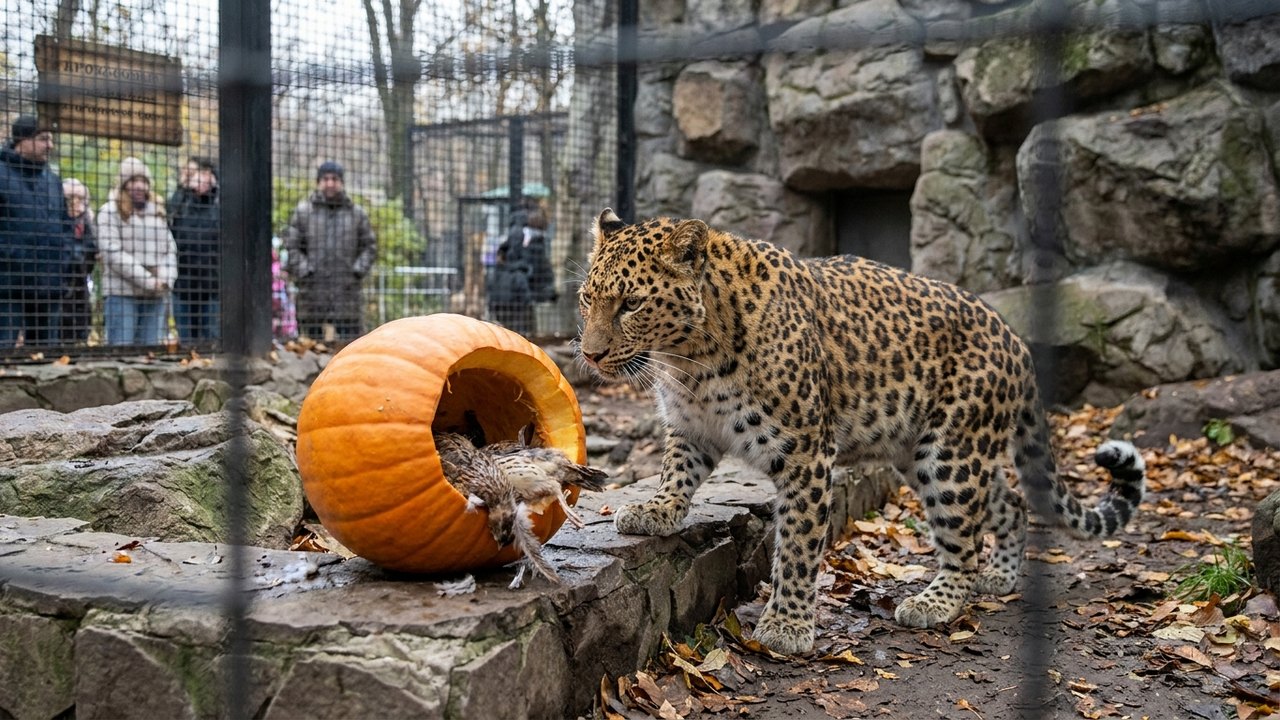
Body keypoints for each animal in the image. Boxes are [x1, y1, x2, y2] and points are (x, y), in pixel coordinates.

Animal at [575, 209, 1146, 656]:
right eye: (586, 299)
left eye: (631, 304)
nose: (590, 354)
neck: (690, 360)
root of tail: (1015, 338)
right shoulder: (692, 428)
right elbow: (674, 473)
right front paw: (653, 511)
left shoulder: (805, 452)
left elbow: (799, 544)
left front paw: (787, 626)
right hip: (924, 451)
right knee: (1009, 503)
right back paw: (1001, 574)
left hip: (951, 454)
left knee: (963, 537)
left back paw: (935, 602)